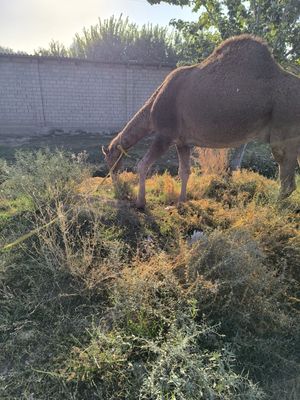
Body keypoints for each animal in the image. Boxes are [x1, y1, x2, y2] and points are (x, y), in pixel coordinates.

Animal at [103, 34, 300, 208]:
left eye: (110, 160)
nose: (116, 188)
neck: (153, 107)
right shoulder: (182, 141)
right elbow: (184, 171)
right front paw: (180, 202)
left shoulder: (165, 134)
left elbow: (142, 165)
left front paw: (140, 203)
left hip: (284, 132)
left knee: (287, 181)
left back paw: (271, 208)